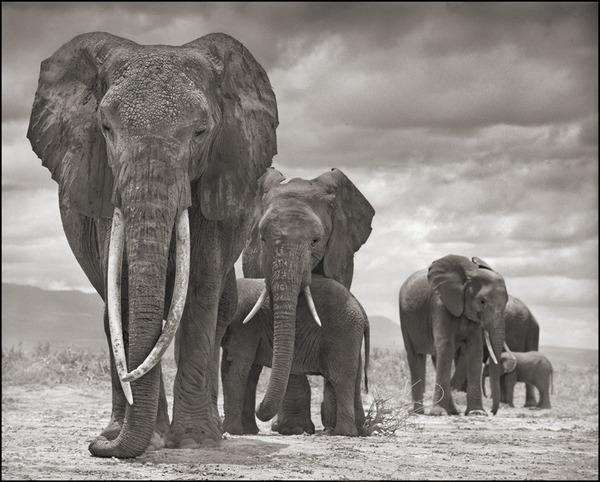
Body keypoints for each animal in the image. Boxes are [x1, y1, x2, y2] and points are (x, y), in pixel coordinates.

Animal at [27, 32, 278, 458]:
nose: (95, 446)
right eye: (105, 128)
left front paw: (193, 441)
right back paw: (124, 428)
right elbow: (123, 288)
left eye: (201, 132)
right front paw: (149, 439)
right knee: (110, 311)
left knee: (221, 308)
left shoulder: (213, 180)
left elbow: (201, 291)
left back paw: (212, 431)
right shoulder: (104, 186)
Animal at [221, 274, 370, 436]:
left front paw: (231, 431)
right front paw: (248, 431)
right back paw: (359, 431)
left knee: (340, 379)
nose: (259, 406)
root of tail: (361, 310)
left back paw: (343, 433)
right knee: (354, 378)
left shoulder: (244, 326)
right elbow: (243, 371)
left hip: (343, 333)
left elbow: (237, 368)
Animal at [400, 254, 508, 416]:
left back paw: (453, 411)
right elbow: (446, 346)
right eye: (482, 301)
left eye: (506, 302)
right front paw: (439, 413)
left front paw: (477, 413)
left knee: (436, 358)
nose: (492, 412)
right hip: (405, 319)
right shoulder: (440, 304)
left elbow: (475, 350)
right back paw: (419, 412)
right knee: (416, 356)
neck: (468, 275)